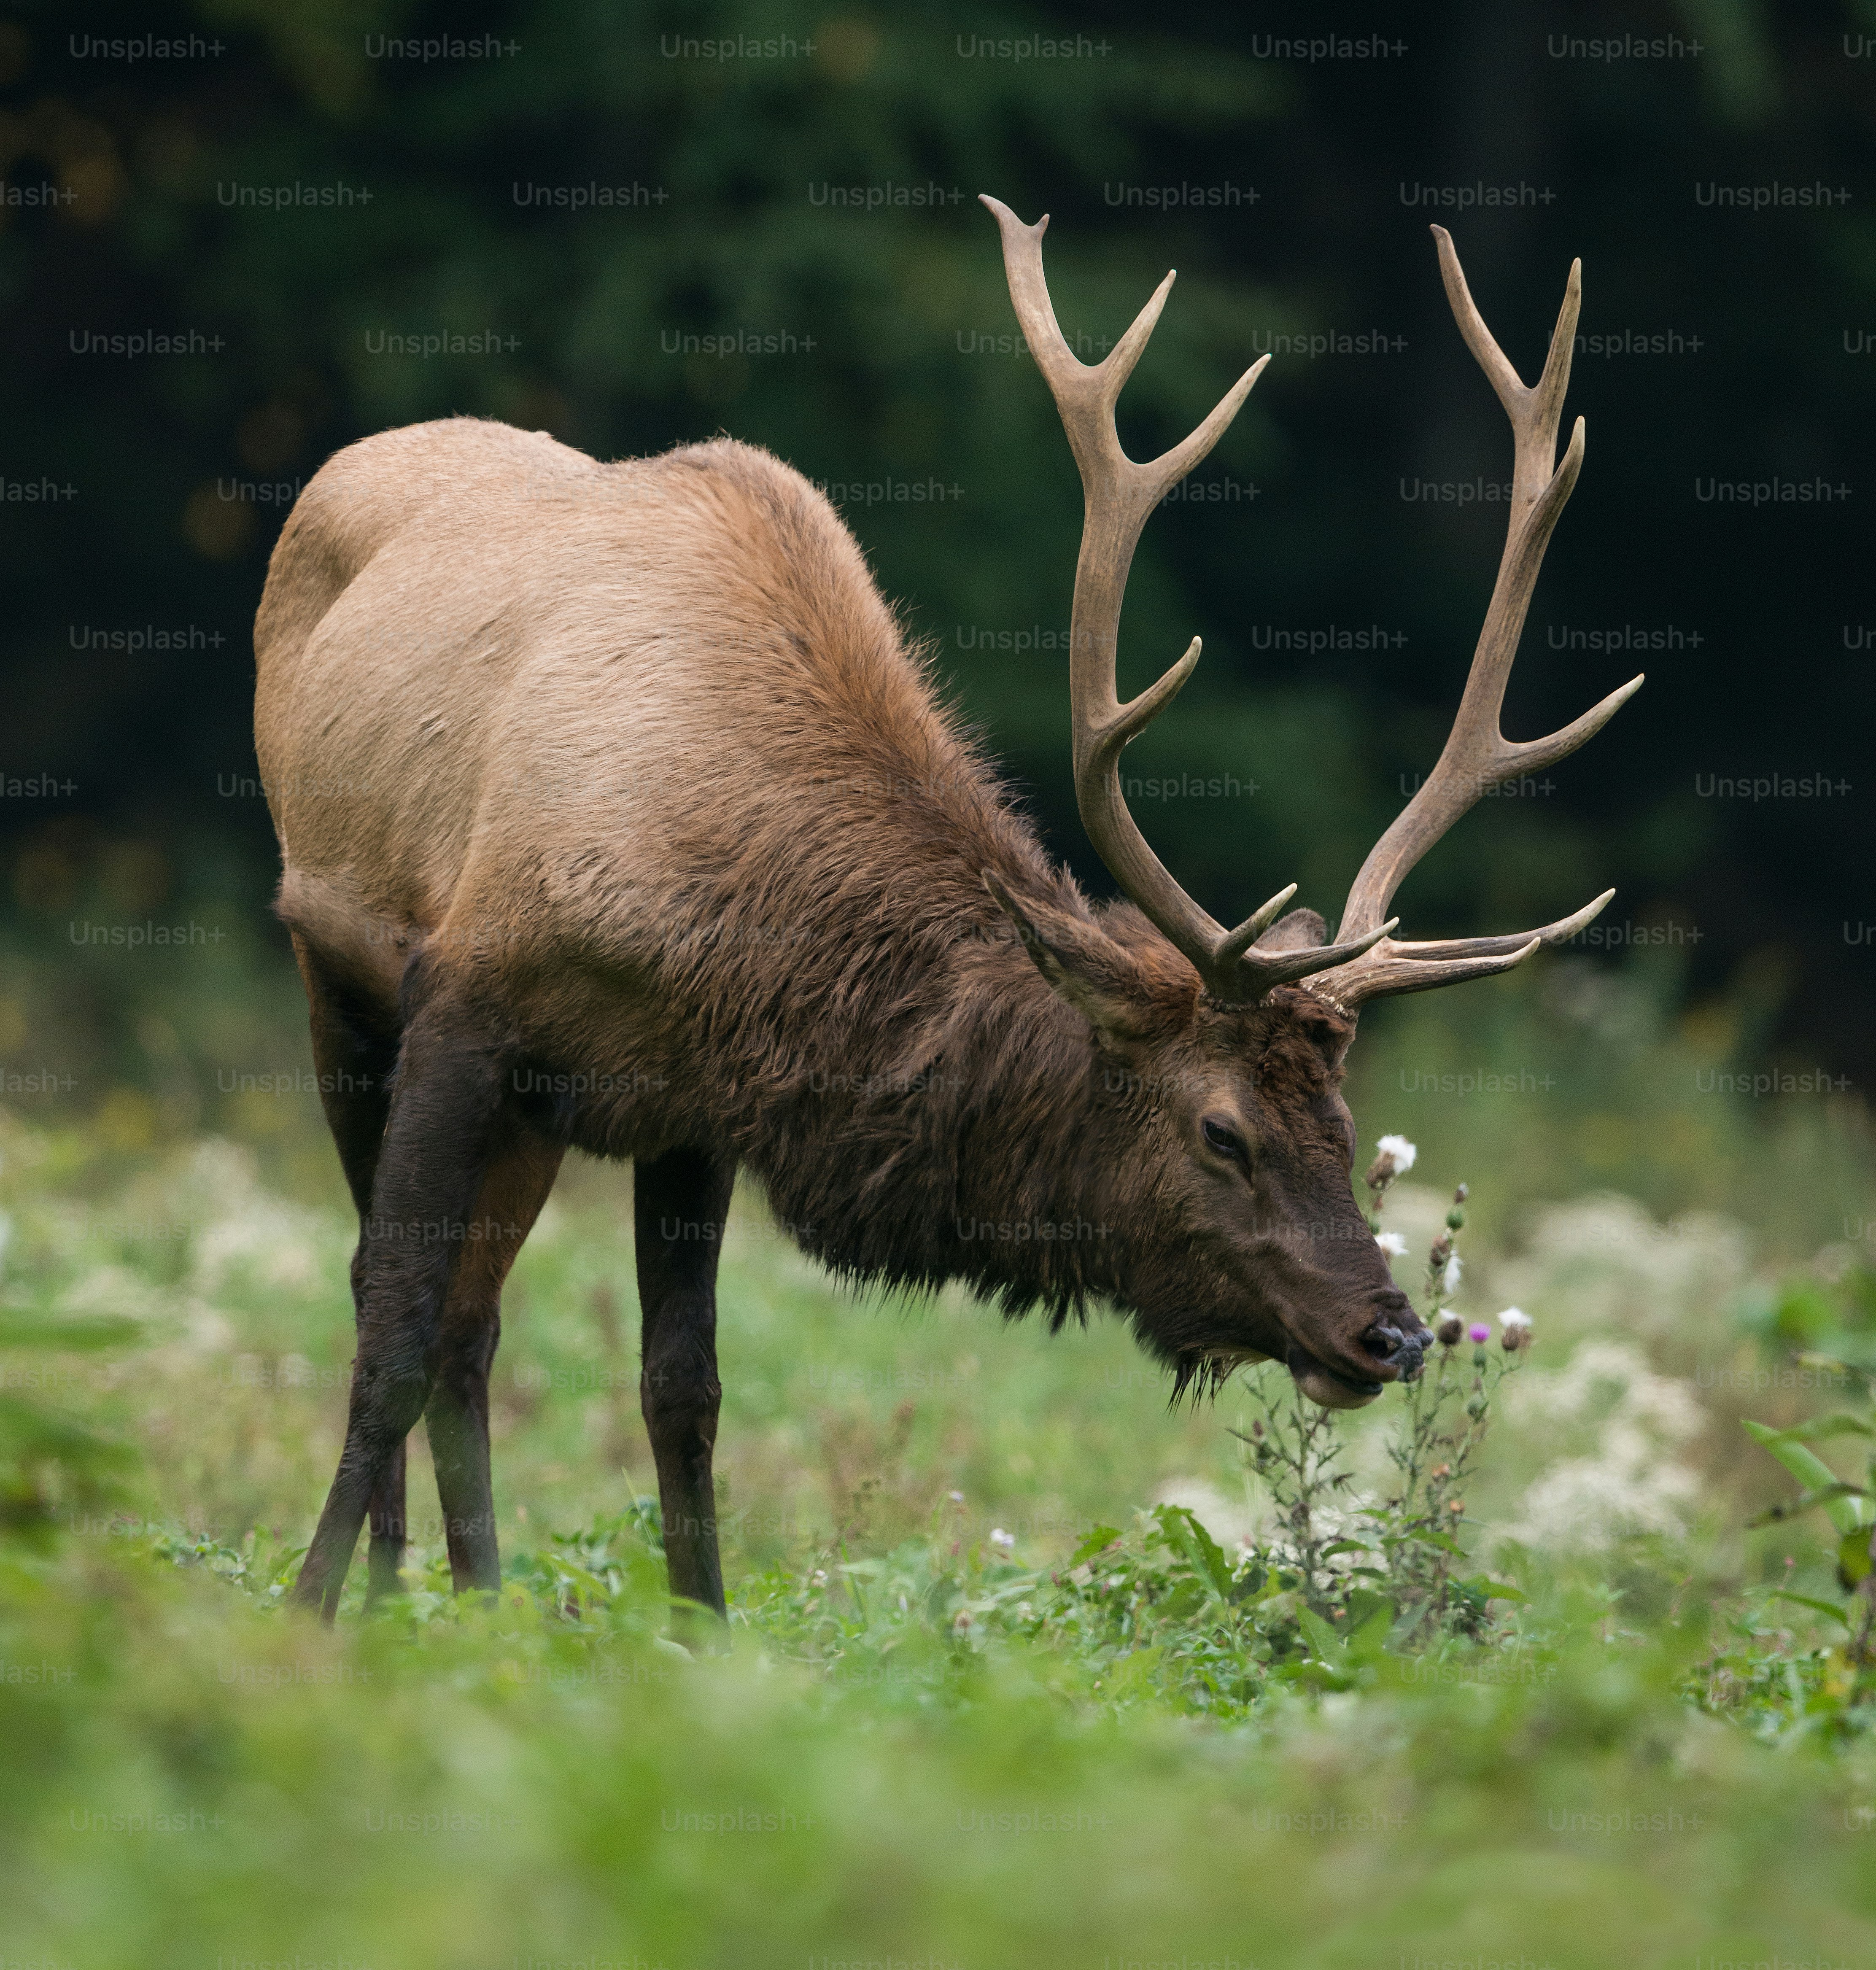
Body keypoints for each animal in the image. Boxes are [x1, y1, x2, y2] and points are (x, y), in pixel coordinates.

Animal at [253, 196, 1639, 1622]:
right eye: (1222, 1130)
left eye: (1346, 1123)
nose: (1394, 1330)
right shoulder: (465, 1005)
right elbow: (388, 1326)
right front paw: (310, 1616)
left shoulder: (690, 1105)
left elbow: (680, 1386)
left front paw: (702, 1628)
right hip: (330, 963)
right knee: (402, 1296)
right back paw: (395, 1589)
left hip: (536, 1116)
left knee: (478, 1325)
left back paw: (477, 1598)